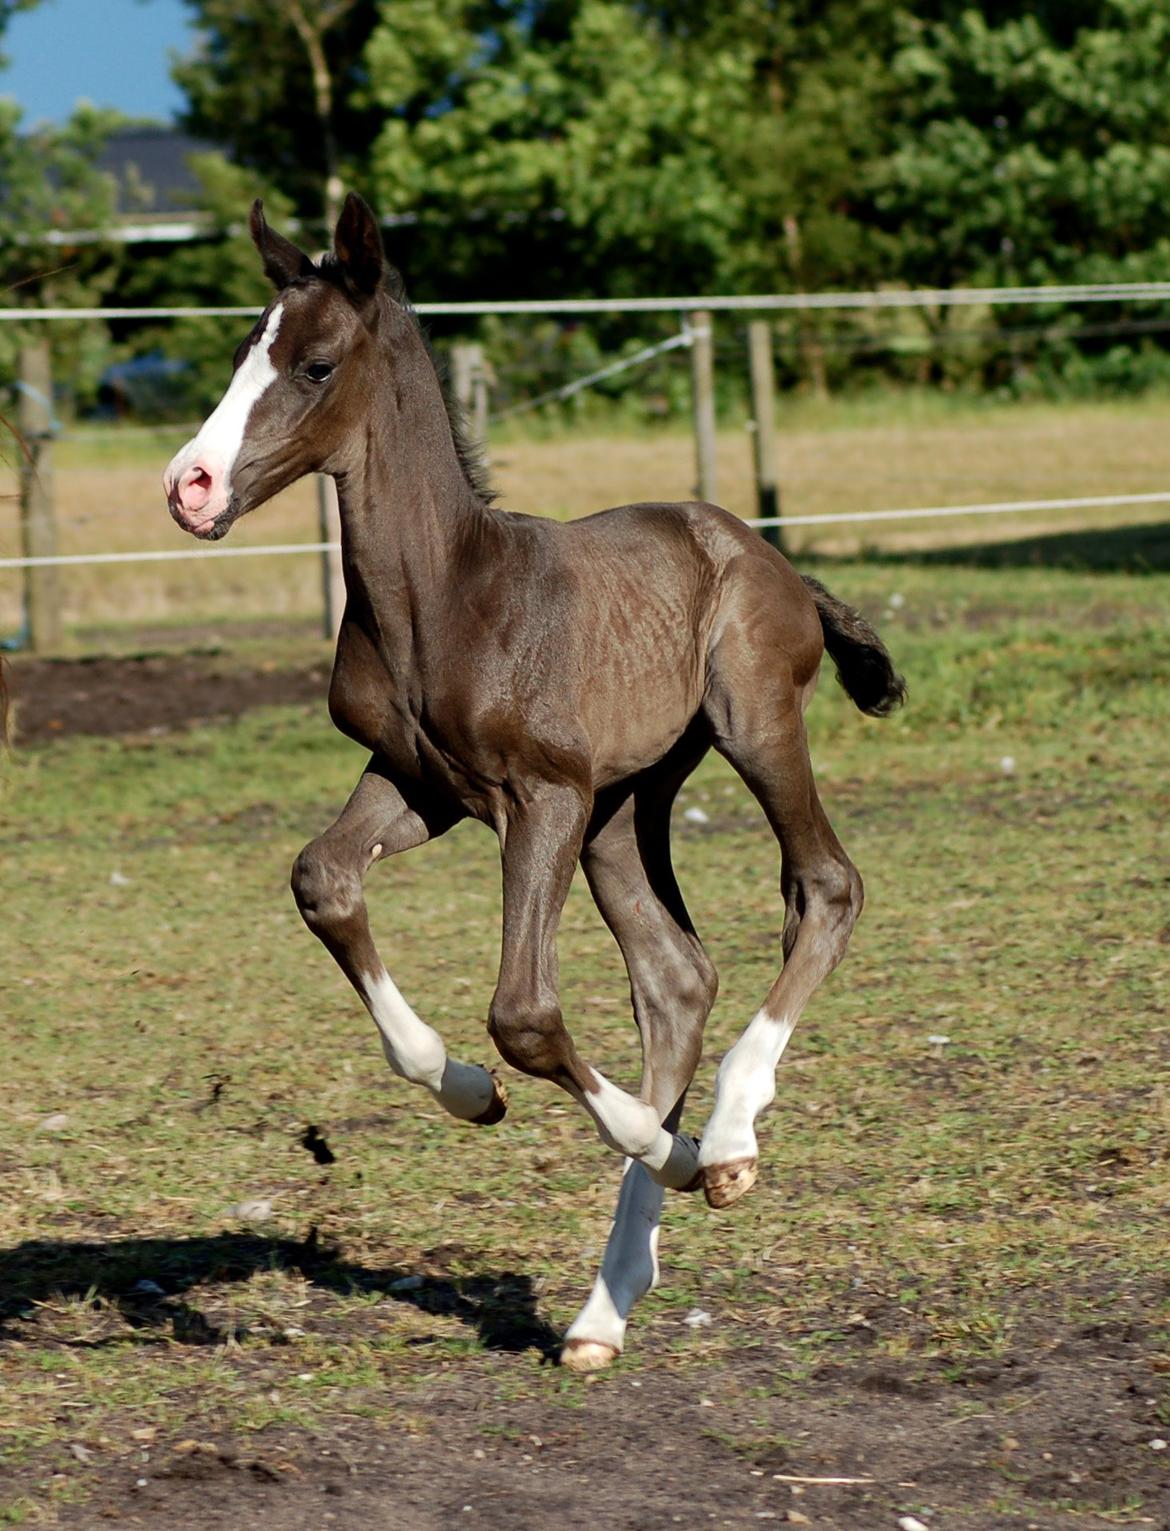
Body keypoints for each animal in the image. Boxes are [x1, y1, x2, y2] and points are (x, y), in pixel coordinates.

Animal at [162, 197, 906, 1371]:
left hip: (747, 727)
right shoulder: (419, 782)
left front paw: (683, 1153)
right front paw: (469, 1092)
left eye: (316, 364)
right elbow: (323, 879)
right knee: (676, 976)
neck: (444, 592)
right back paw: (605, 1309)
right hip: (623, 808)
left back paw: (724, 1140)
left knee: (824, 886)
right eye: (244, 350)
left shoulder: (539, 795)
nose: (188, 487)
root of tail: (769, 554)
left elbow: (523, 1009)